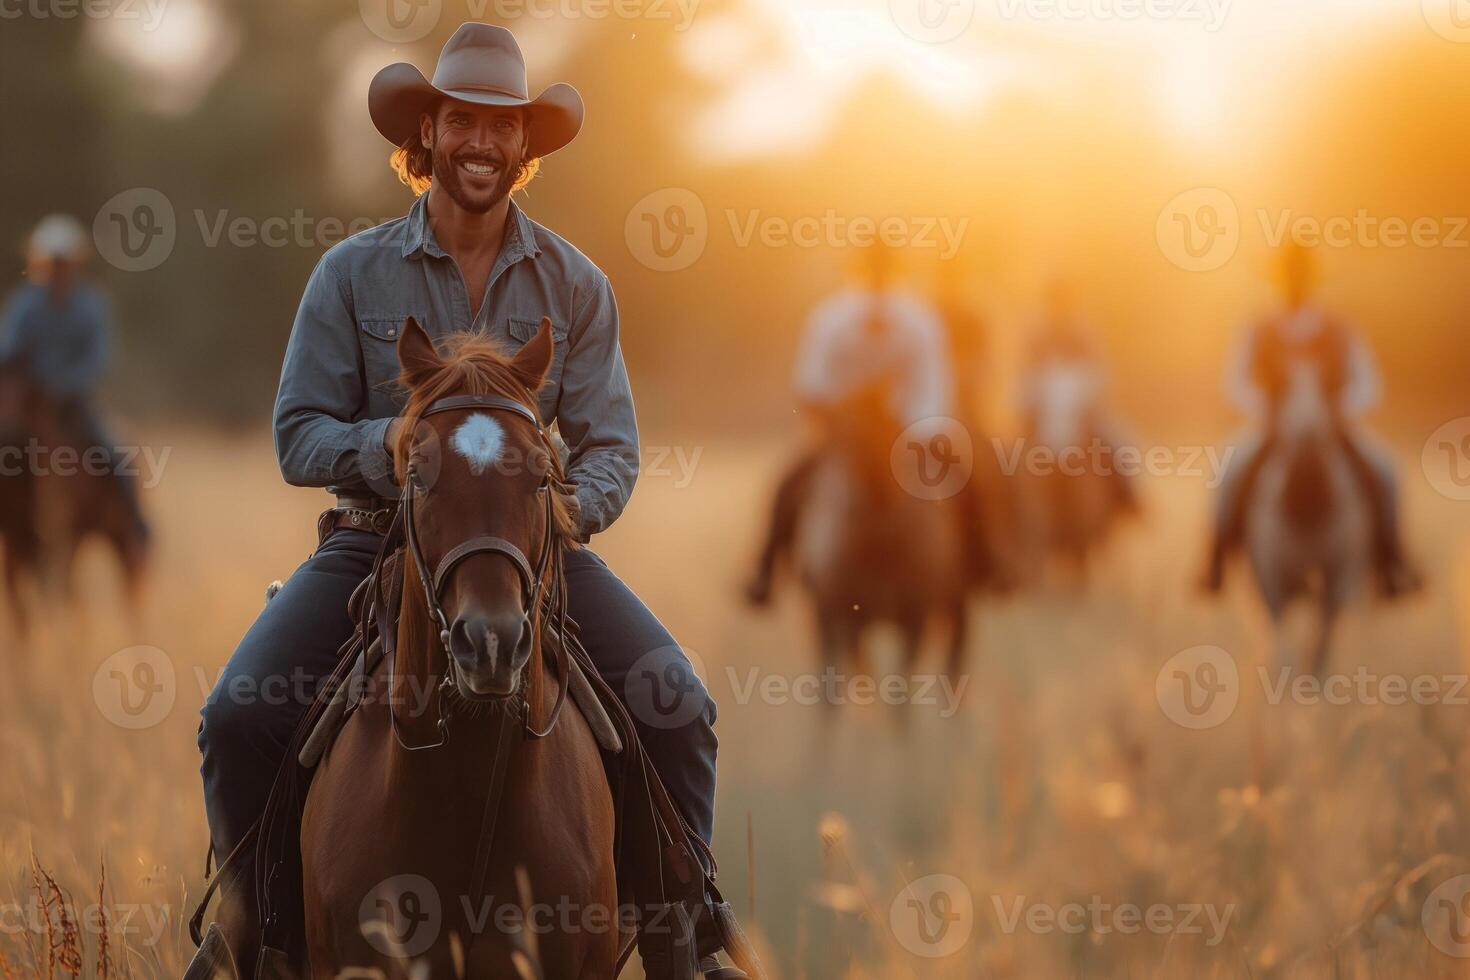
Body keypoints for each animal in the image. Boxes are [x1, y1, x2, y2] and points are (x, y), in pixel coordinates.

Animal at [793, 382, 976, 696]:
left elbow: (899, 690)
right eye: (834, 442)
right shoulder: (839, 615)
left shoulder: (915, 618)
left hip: (953, 597)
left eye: (880, 433)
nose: (849, 507)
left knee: (956, 648)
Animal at [1246, 359, 1370, 675]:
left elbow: (1320, 649)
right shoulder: (1272, 584)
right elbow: (1284, 647)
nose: (1307, 435)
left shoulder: (1337, 585)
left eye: (1329, 383)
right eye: (1281, 383)